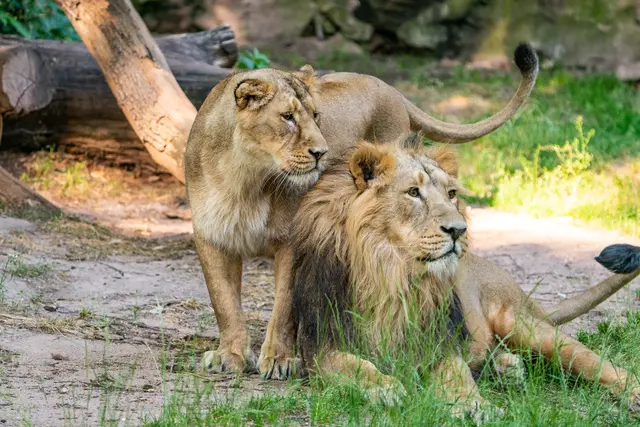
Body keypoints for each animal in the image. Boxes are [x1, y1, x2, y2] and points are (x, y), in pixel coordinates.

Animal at [185, 44, 539, 378]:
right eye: (287, 117)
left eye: (316, 116)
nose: (322, 153)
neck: (245, 177)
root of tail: (389, 87)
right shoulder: (210, 236)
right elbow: (223, 302)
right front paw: (230, 355)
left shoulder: (290, 240)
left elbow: (283, 306)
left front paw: (279, 360)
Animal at [290, 138, 640, 418]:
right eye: (413, 192)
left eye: (451, 194)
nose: (458, 230)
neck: (392, 271)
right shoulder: (319, 343)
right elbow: (351, 365)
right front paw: (384, 387)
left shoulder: (439, 339)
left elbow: (456, 374)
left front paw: (474, 404)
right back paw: (507, 369)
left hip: (523, 325)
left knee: (597, 362)